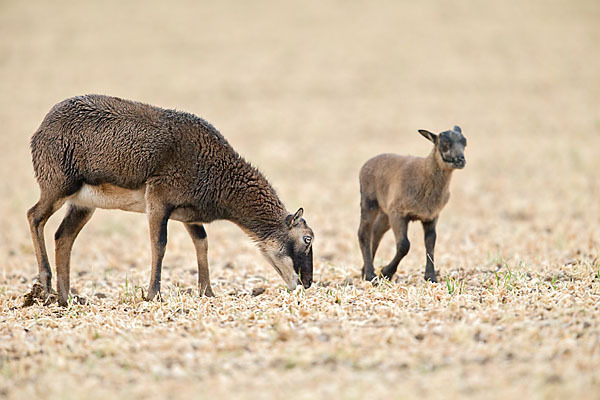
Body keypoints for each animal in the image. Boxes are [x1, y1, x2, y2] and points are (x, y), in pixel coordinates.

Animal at [25, 94, 314, 306]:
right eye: (307, 238)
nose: (307, 282)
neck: (212, 167)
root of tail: (40, 130)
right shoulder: (158, 201)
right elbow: (159, 244)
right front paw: (154, 294)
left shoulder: (188, 215)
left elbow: (202, 243)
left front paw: (207, 292)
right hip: (57, 187)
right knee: (34, 216)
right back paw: (45, 286)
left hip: (83, 205)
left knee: (63, 237)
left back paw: (66, 299)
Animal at [358, 126, 466, 282]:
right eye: (445, 144)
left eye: (465, 142)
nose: (461, 160)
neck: (424, 174)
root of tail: (366, 164)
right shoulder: (398, 213)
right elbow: (404, 245)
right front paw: (386, 272)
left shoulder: (431, 216)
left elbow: (430, 242)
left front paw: (431, 276)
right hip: (369, 201)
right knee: (364, 232)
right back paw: (370, 275)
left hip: (385, 212)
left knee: (376, 232)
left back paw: (364, 271)